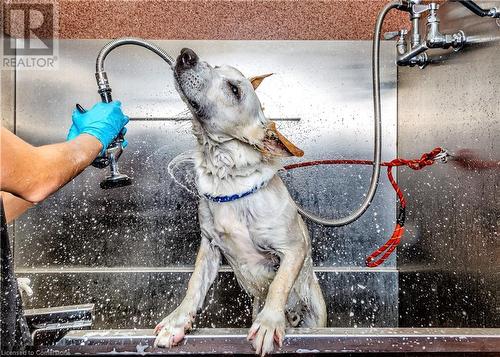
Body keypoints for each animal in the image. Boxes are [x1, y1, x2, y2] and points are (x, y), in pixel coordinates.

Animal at [156, 48, 328, 354]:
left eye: (234, 90)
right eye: (215, 66)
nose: (187, 54)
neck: (227, 179)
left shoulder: (293, 249)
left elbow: (279, 284)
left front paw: (269, 322)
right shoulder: (209, 247)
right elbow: (194, 284)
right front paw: (177, 322)